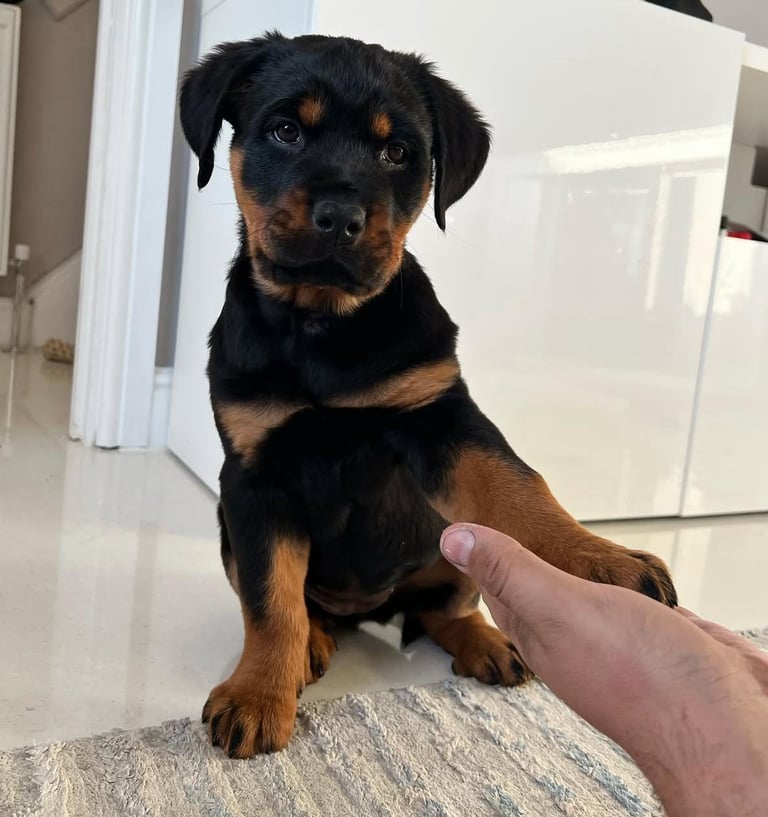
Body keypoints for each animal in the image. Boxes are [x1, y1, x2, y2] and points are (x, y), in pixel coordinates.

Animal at [179, 32, 678, 758]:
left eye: (398, 153)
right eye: (285, 130)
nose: (340, 216)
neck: (325, 324)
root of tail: (370, 606)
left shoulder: (442, 417)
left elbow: (521, 488)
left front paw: (603, 563)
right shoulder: (252, 479)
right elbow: (271, 600)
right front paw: (258, 694)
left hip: (447, 537)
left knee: (444, 606)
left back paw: (487, 640)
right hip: (230, 531)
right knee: (302, 605)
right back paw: (312, 647)